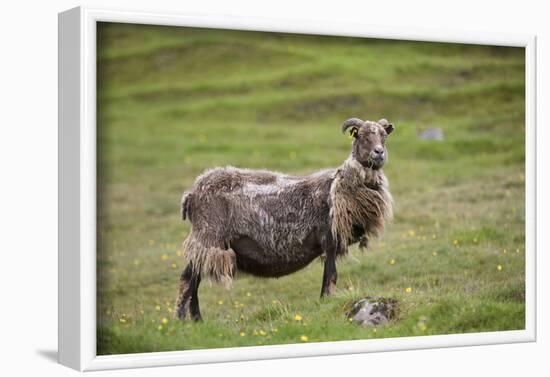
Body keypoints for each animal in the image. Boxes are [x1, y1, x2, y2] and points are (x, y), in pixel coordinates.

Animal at [175, 116, 394, 318]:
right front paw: (325, 302)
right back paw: (184, 320)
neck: (339, 185)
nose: (379, 153)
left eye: (384, 136)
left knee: (194, 280)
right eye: (361, 136)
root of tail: (191, 194)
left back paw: (196, 321)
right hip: (208, 237)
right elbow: (330, 277)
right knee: (187, 280)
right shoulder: (329, 241)